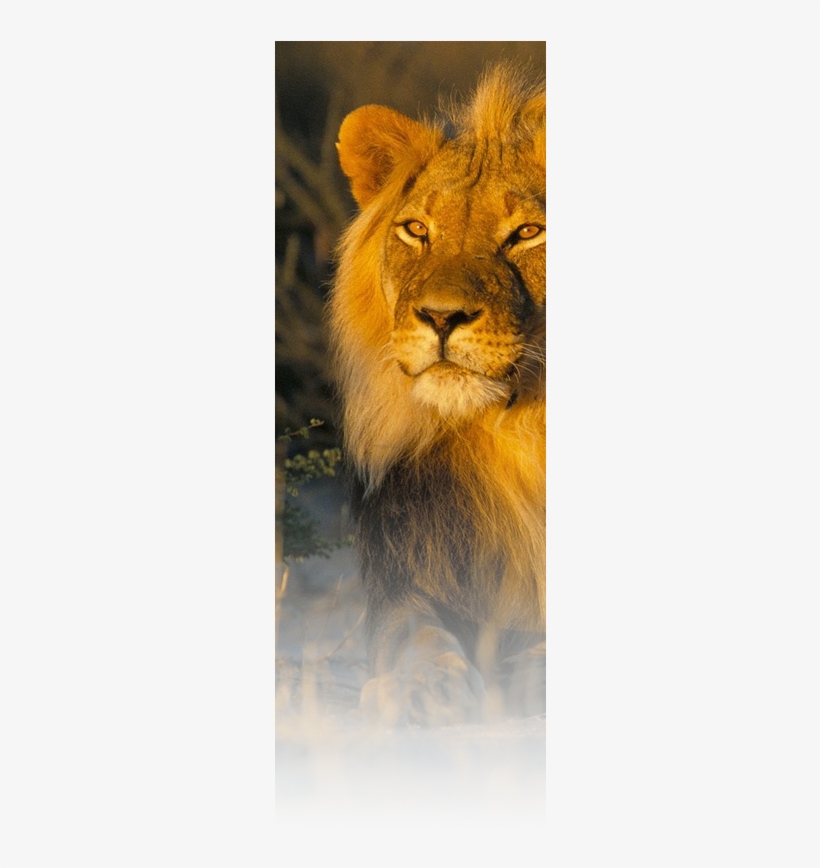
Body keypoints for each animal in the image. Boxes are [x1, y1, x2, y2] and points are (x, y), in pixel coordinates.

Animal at [329, 64, 545, 726]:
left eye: (528, 232)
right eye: (417, 229)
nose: (441, 317)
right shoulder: (408, 578)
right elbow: (413, 638)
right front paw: (427, 689)